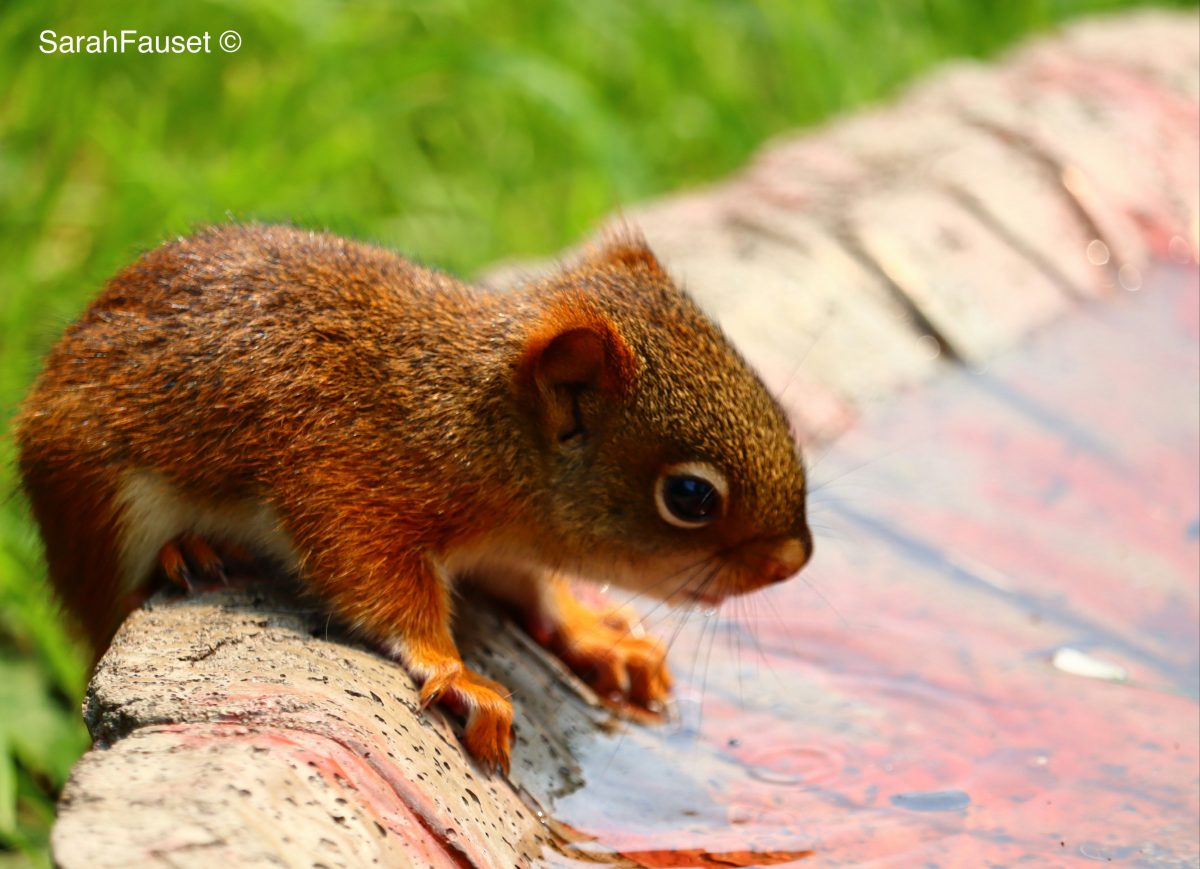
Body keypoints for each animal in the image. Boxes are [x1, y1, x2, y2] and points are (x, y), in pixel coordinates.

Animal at [14, 224, 811, 772]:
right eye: (690, 496)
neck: (481, 428)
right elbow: (376, 580)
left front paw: (595, 633)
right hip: (104, 504)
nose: (794, 562)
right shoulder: (351, 478)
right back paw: (191, 550)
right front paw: (457, 673)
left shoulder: (505, 547)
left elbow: (534, 591)